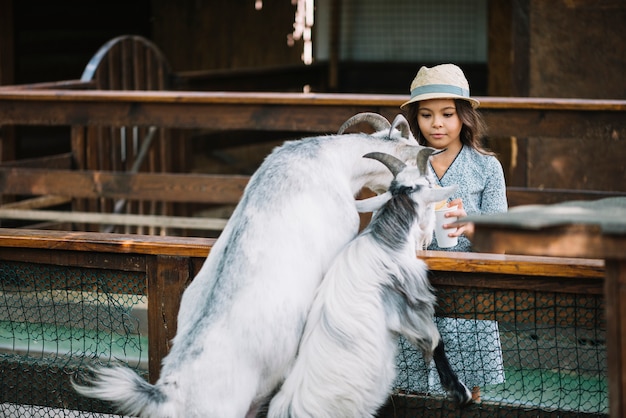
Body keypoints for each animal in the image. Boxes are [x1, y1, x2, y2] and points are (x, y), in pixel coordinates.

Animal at [266, 150, 468, 418]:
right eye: (429, 184)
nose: (427, 237)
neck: (383, 242)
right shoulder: (412, 304)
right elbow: (436, 341)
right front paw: (460, 391)